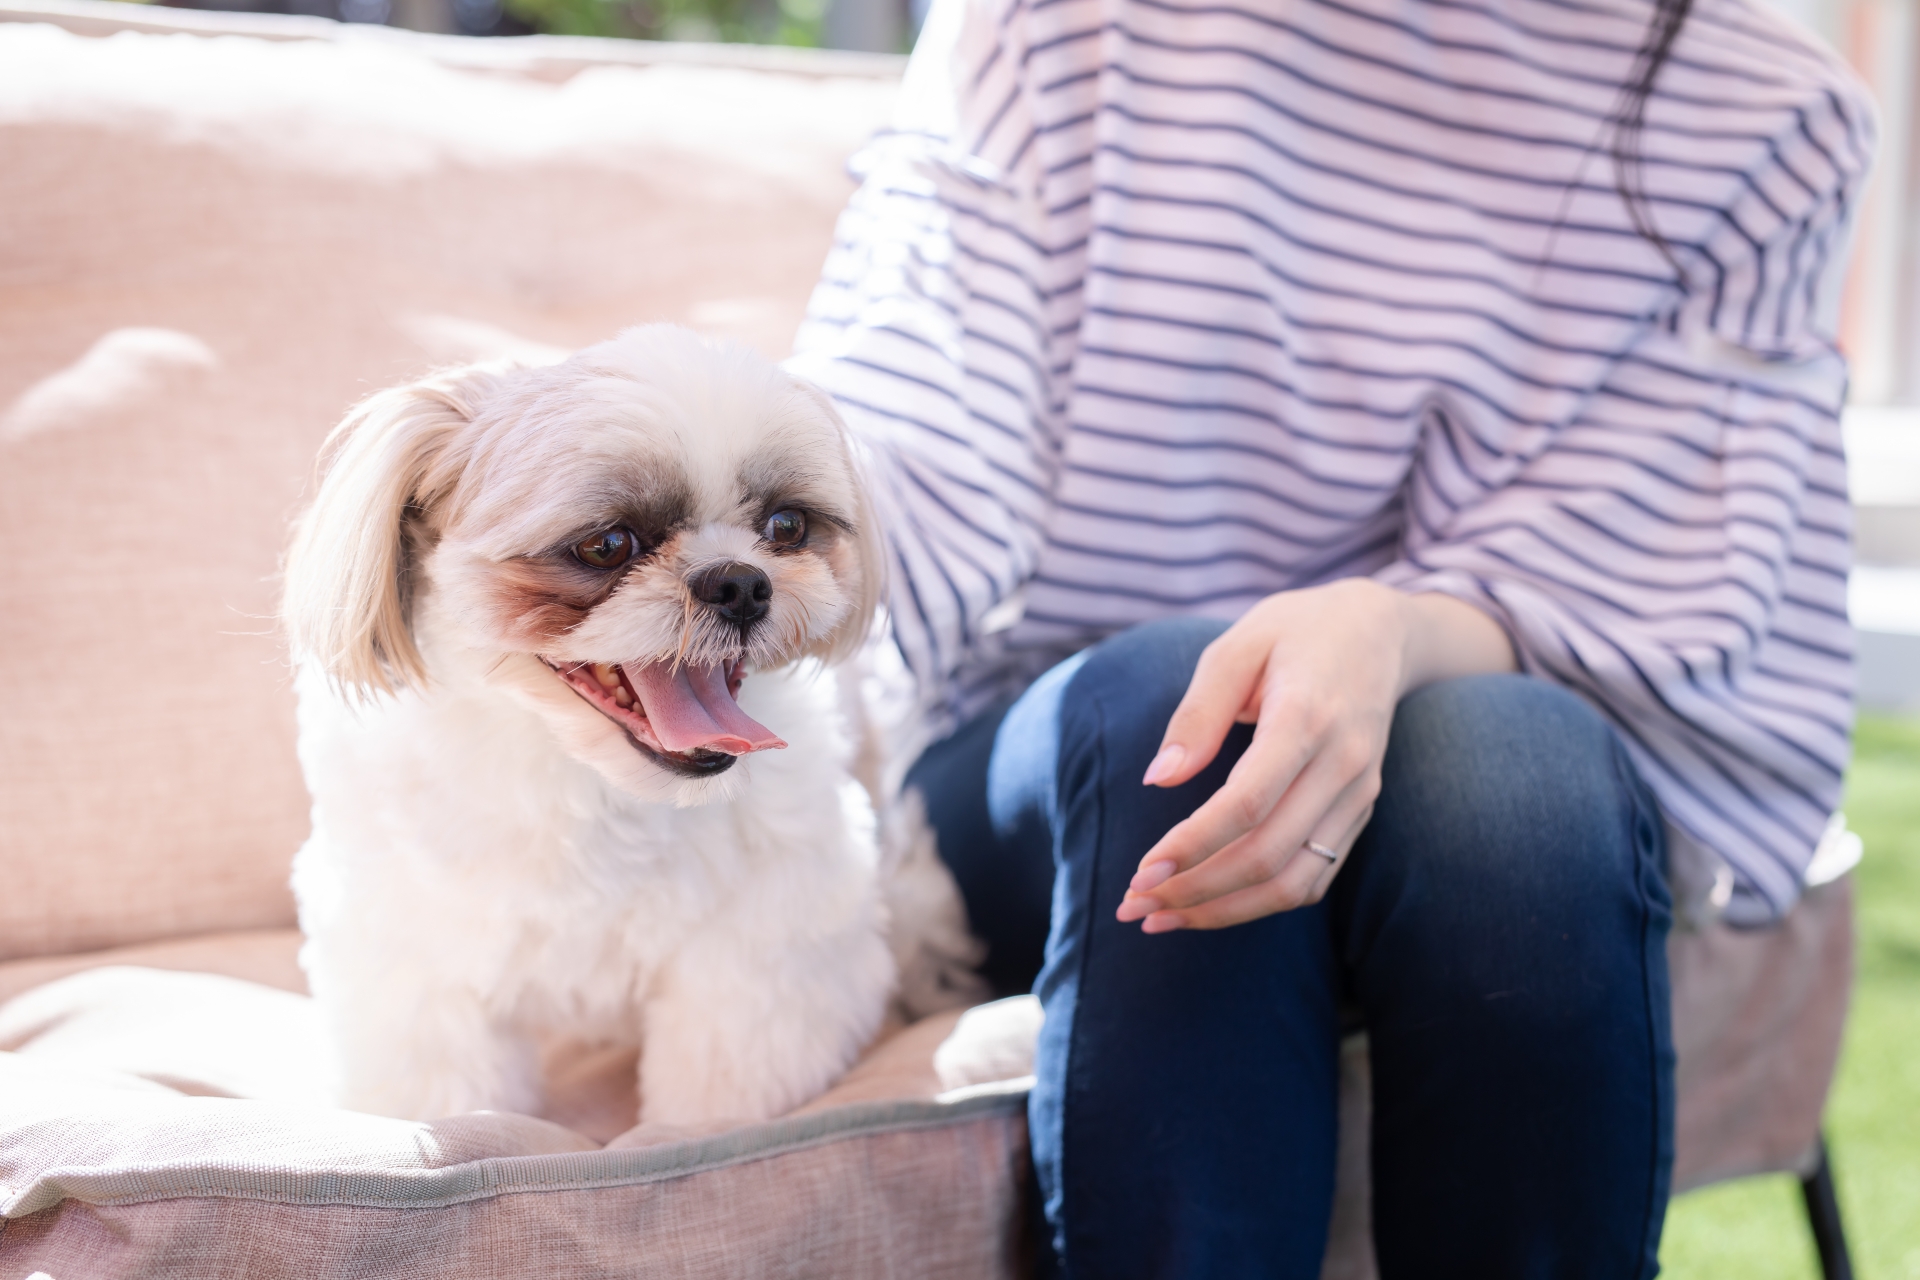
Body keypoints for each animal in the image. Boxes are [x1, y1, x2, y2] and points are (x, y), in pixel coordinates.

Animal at [280, 326, 990, 1128]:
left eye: (786, 526)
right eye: (606, 545)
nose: (740, 581)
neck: (585, 782)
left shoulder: (758, 959)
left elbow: (715, 1093)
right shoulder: (415, 959)